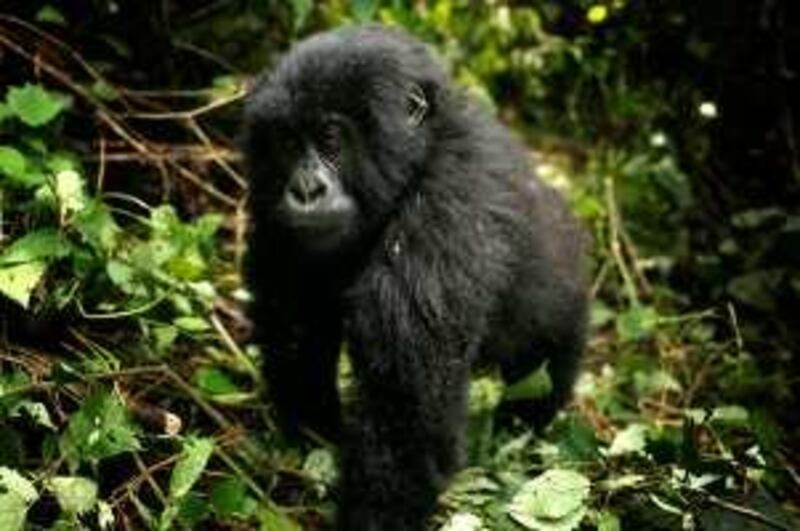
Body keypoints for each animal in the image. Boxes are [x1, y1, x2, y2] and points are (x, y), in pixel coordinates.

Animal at [242, 26, 588, 531]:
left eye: (330, 139)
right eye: (287, 142)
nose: (306, 190)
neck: (421, 155)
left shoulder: (445, 208)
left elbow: (405, 410)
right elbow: (295, 328)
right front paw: (313, 438)